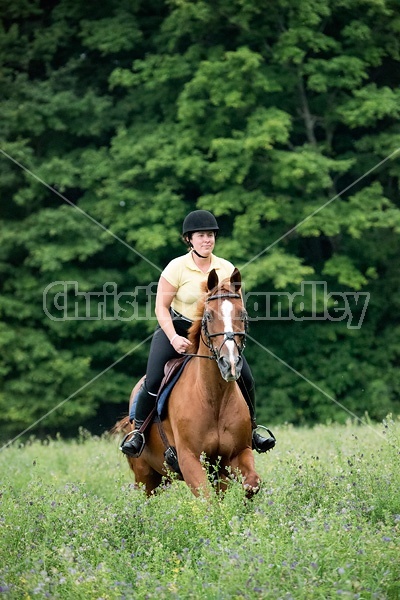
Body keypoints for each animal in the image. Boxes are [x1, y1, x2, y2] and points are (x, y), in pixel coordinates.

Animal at [114, 270, 260, 500]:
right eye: (208, 316)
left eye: (243, 315)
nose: (230, 363)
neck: (213, 398)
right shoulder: (189, 459)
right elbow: (207, 500)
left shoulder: (237, 454)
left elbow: (252, 484)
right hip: (145, 476)